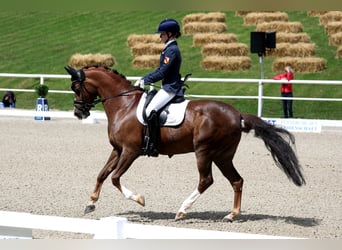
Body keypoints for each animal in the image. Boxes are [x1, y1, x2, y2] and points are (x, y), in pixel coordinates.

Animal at [65, 65, 306, 222]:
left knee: (206, 180)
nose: (78, 113)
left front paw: (140, 199)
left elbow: (115, 178)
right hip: (223, 155)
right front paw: (91, 203)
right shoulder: (117, 149)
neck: (124, 104)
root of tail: (237, 114)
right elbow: (102, 174)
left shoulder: (130, 151)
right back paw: (231, 214)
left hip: (204, 151)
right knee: (236, 181)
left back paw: (182, 210)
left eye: (76, 87)